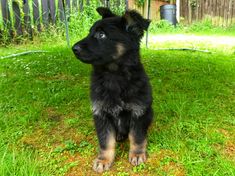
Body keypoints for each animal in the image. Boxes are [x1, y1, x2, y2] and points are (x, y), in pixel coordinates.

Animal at [72, 7, 153, 173]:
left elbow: (137, 137)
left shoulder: (138, 111)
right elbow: (105, 141)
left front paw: (137, 154)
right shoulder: (101, 113)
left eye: (101, 35)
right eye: (90, 32)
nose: (73, 49)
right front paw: (103, 160)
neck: (114, 75)